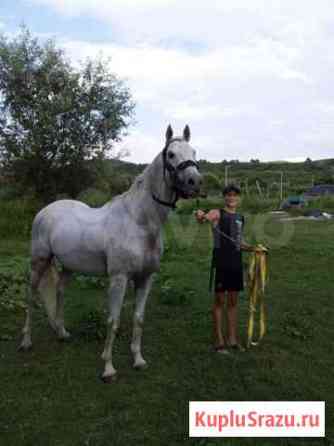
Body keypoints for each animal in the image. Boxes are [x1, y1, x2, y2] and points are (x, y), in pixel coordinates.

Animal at [19, 123, 202, 382]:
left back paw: (62, 332)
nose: (194, 182)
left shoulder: (146, 279)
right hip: (39, 262)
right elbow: (113, 321)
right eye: (171, 154)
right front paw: (108, 369)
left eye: (194, 152)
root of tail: (45, 211)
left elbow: (138, 319)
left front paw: (138, 360)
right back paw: (26, 342)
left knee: (60, 292)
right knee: (31, 295)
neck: (139, 222)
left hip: (68, 267)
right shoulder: (119, 279)